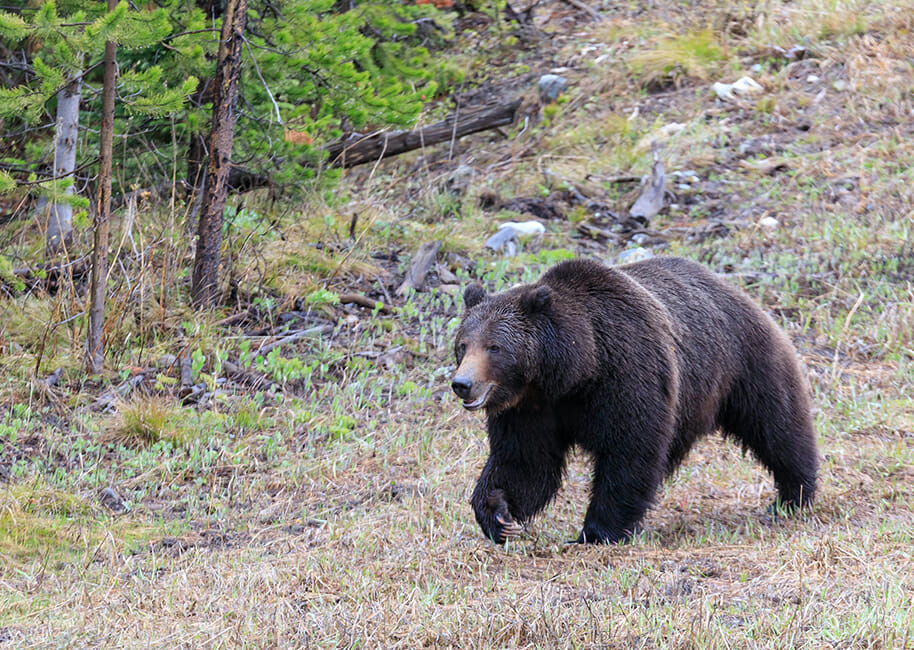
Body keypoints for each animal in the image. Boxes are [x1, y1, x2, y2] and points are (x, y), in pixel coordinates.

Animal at [452, 256, 816, 544]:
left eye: (494, 347)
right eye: (463, 344)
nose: (462, 384)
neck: (574, 373)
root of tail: (734, 289)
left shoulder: (627, 373)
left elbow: (630, 450)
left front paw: (597, 532)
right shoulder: (530, 410)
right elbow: (524, 462)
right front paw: (498, 513)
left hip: (744, 363)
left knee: (778, 425)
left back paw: (793, 495)